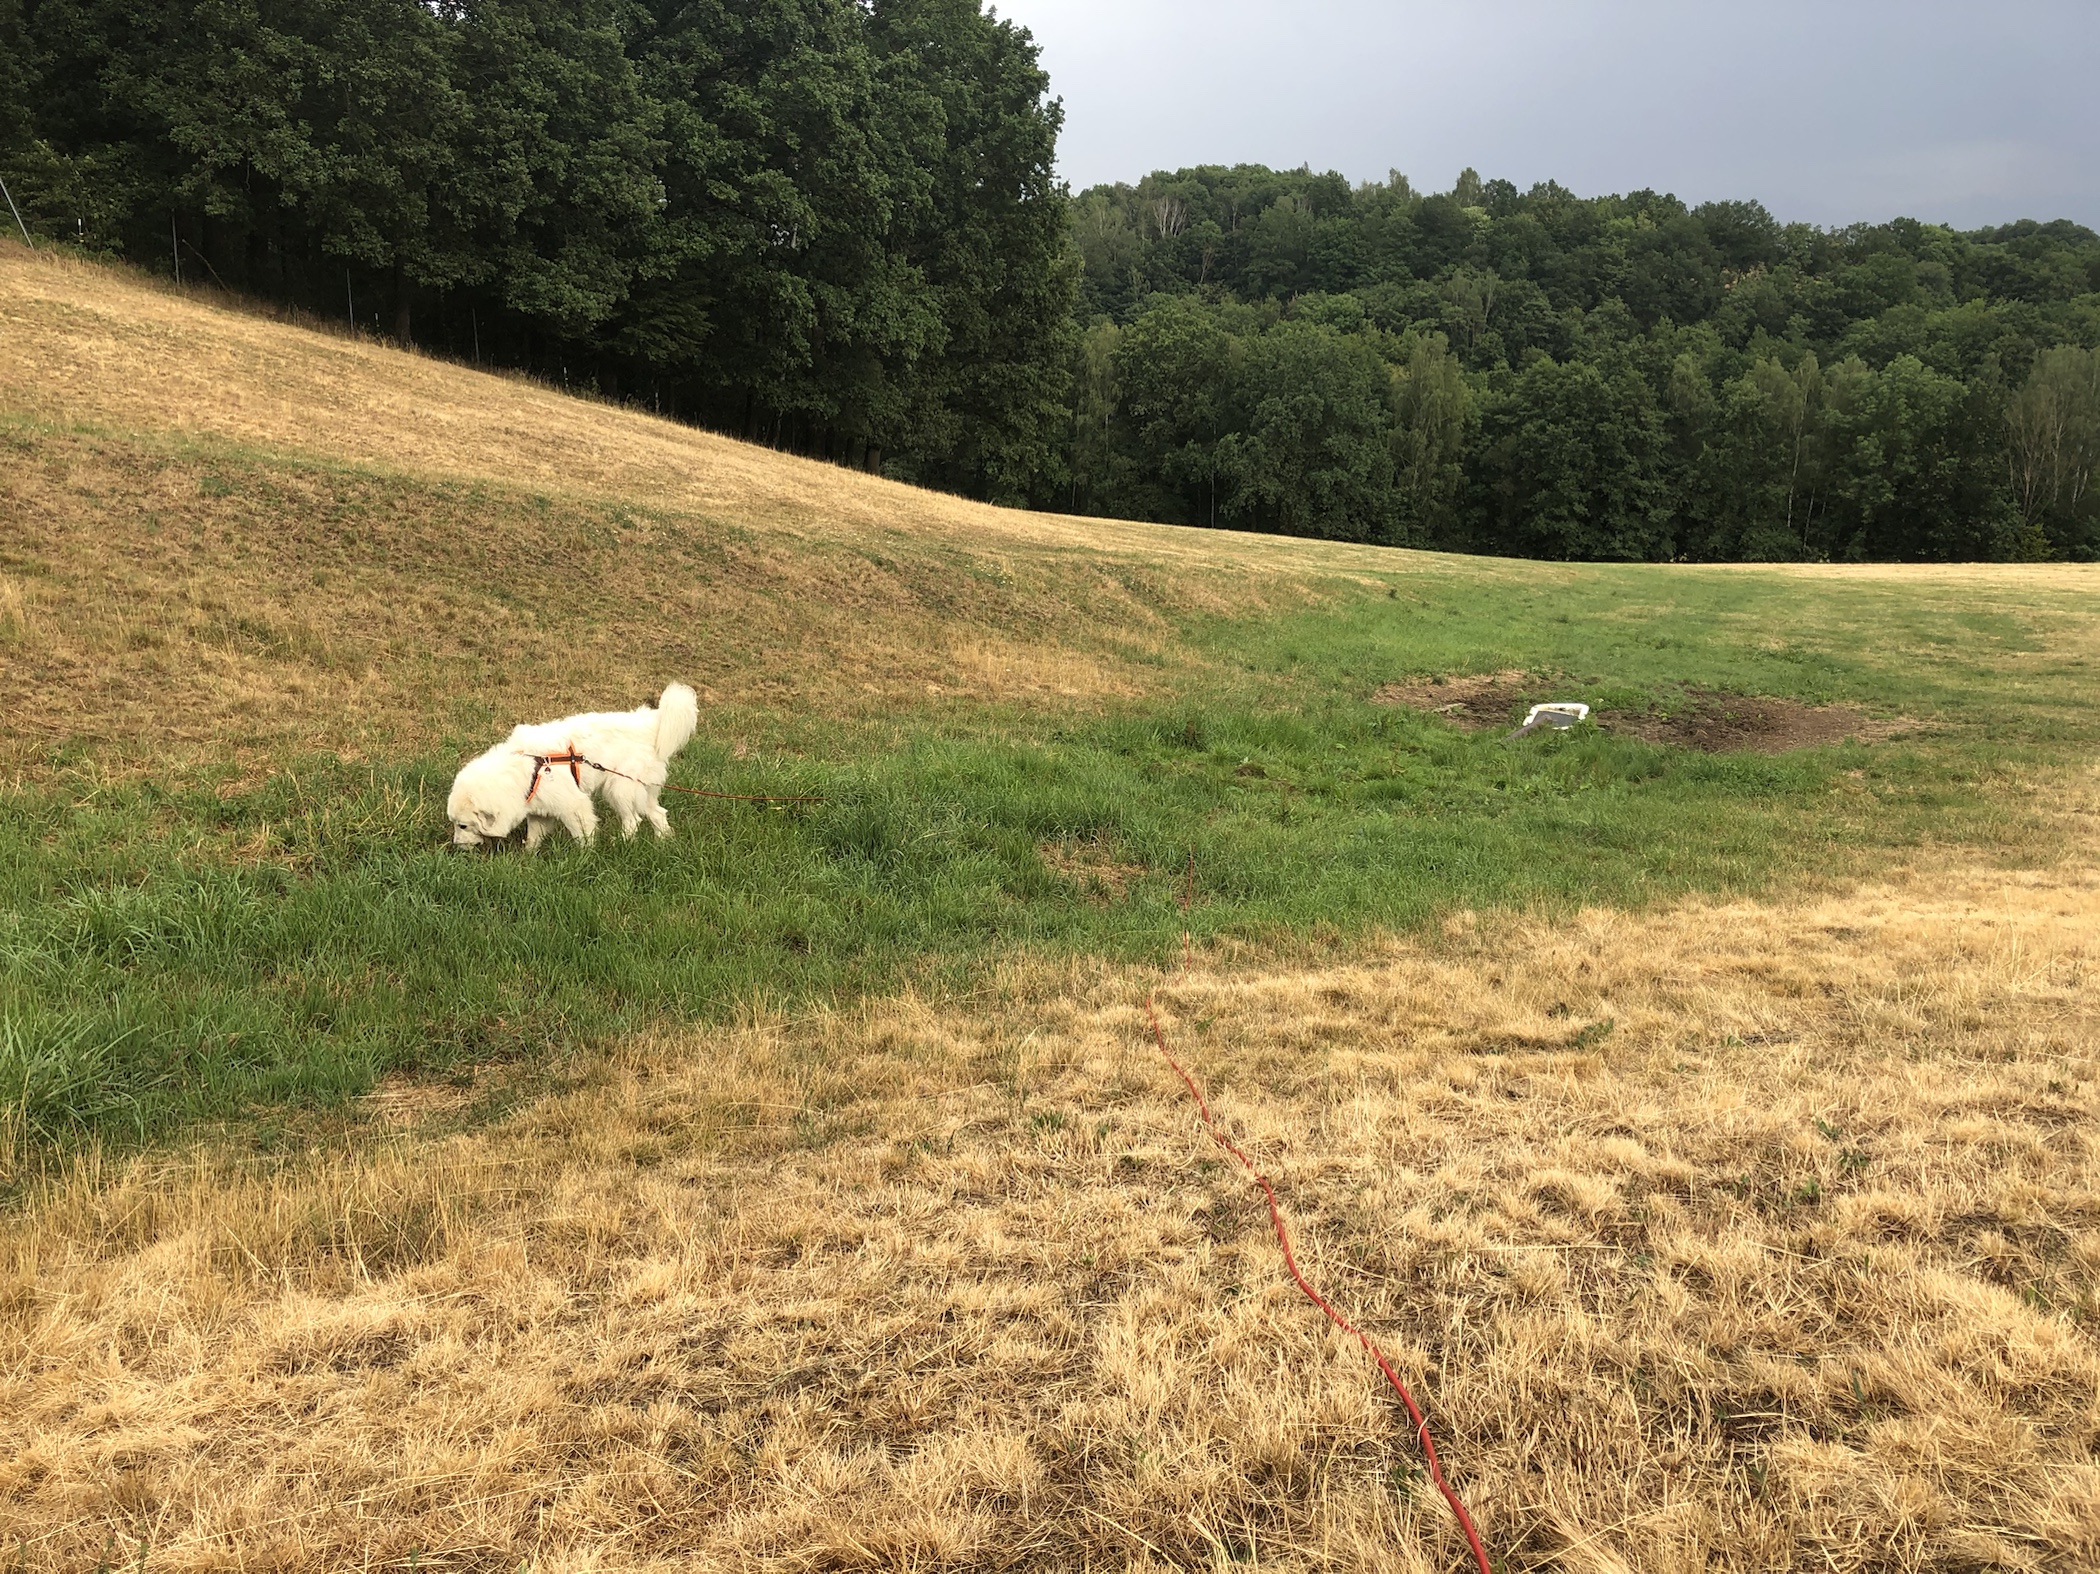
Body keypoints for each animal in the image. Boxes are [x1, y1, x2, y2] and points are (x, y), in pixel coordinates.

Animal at [447, 683, 698, 850]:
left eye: (463, 826)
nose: (456, 846)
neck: (526, 769)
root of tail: (651, 723)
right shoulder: (540, 811)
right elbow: (533, 838)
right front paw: (528, 858)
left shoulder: (574, 805)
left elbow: (583, 834)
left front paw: (585, 856)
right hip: (642, 791)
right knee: (658, 814)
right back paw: (664, 843)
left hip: (619, 789)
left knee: (633, 821)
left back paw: (622, 843)